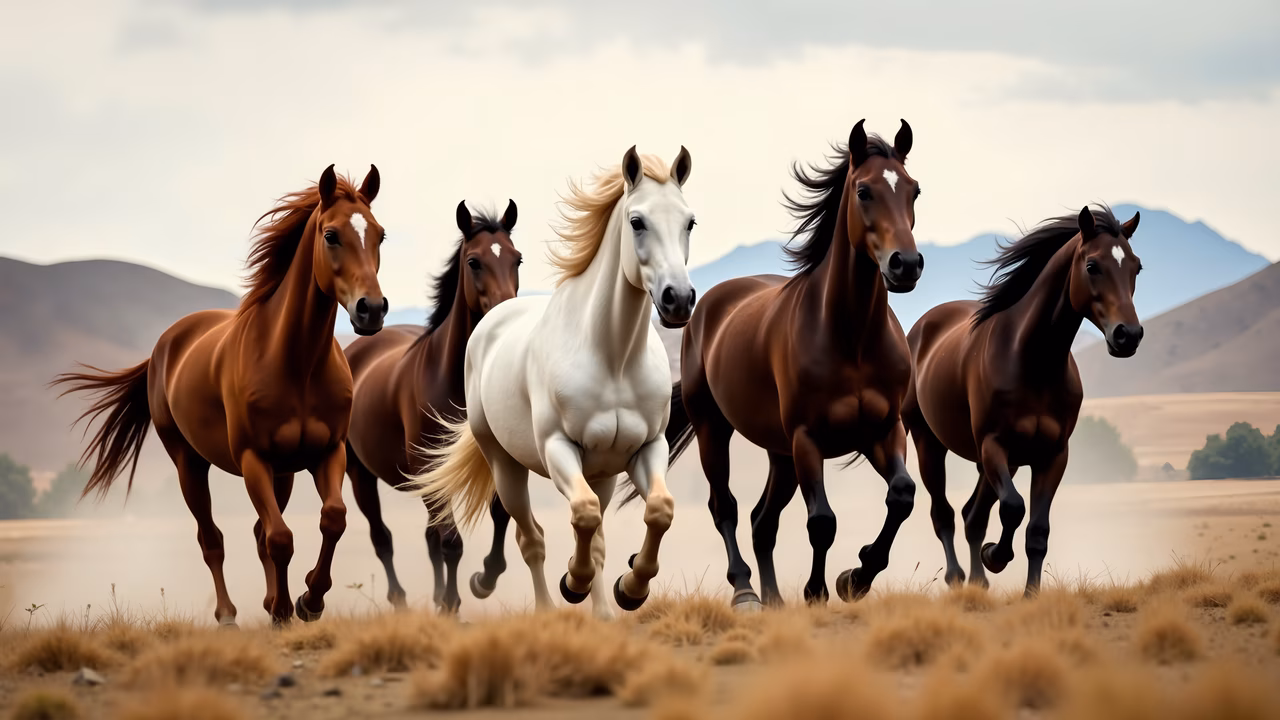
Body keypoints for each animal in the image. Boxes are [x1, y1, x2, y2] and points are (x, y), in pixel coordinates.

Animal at [53, 165, 388, 626]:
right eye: (331, 235)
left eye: (380, 235)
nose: (371, 310)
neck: (296, 363)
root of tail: (166, 343)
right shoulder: (252, 459)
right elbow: (280, 538)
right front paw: (286, 608)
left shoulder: (328, 452)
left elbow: (331, 520)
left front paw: (309, 600)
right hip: (189, 464)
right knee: (212, 538)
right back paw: (229, 614)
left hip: (282, 473)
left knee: (259, 532)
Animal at [345, 200, 521, 613]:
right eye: (474, 262)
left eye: (517, 259)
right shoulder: (428, 467)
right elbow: (451, 542)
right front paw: (454, 603)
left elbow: (500, 514)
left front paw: (484, 580)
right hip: (359, 474)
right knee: (383, 537)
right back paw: (400, 601)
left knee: (429, 539)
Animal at [410, 146, 696, 619]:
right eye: (637, 221)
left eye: (690, 221)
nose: (679, 299)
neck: (614, 358)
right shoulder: (559, 448)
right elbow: (583, 515)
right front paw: (573, 582)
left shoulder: (647, 447)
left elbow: (660, 510)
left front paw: (630, 589)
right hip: (505, 466)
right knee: (532, 539)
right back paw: (547, 608)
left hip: (601, 472)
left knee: (596, 537)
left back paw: (603, 613)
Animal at [659, 120, 923, 609]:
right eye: (864, 191)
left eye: (914, 190)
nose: (907, 265)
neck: (852, 340)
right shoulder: (807, 439)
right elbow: (822, 521)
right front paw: (818, 590)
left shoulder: (883, 430)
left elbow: (902, 495)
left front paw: (857, 577)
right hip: (714, 430)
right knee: (725, 507)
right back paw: (746, 592)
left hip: (778, 453)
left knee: (763, 521)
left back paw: (774, 599)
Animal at [902, 205, 1143, 595]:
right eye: (1092, 265)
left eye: (1136, 266)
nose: (1129, 335)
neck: (1033, 362)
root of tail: (920, 329)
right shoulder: (994, 445)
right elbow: (1013, 508)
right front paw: (994, 556)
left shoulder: (1052, 456)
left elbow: (1037, 530)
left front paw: (1030, 592)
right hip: (930, 444)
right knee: (945, 514)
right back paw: (957, 578)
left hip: (1000, 463)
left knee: (972, 515)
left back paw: (978, 581)